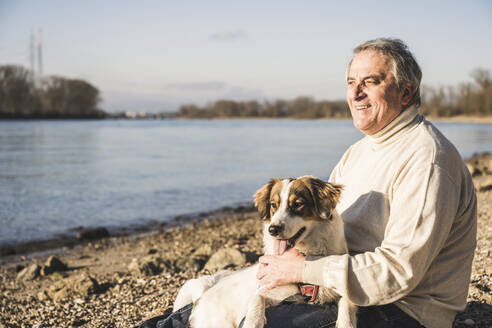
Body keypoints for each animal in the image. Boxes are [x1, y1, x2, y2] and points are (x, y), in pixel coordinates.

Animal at [174, 177, 358, 328]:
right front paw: (253, 322)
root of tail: (202, 296)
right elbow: (257, 297)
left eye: (297, 204)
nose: (273, 229)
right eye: (273, 205)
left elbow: (348, 302)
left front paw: (346, 323)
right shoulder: (270, 289)